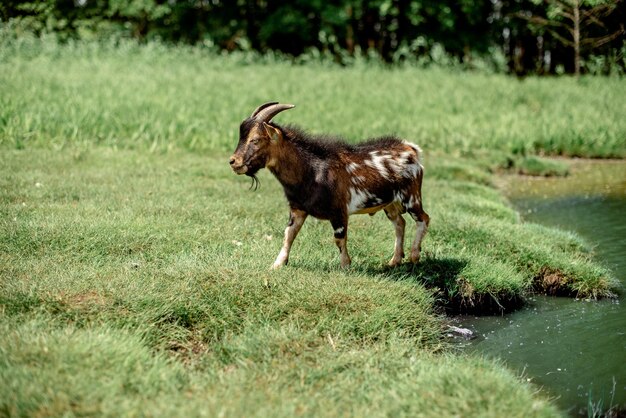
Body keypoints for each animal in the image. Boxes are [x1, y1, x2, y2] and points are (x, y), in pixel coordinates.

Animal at [229, 103, 428, 270]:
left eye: (255, 140)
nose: (233, 161)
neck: (311, 171)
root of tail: (411, 149)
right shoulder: (297, 209)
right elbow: (288, 235)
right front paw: (277, 264)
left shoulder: (338, 211)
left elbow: (339, 239)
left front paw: (345, 266)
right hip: (390, 203)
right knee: (400, 223)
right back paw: (394, 260)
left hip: (411, 196)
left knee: (423, 219)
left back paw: (414, 255)